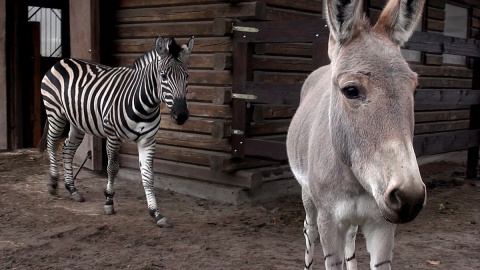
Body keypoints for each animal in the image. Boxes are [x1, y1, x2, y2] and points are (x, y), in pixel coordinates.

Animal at [38, 34, 194, 227]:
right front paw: (109, 202)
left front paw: (156, 212)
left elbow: (148, 175)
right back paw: (53, 184)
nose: (181, 115)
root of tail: (63, 60)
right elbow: (112, 168)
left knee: (68, 148)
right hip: (55, 113)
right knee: (52, 145)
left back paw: (72, 189)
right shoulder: (113, 137)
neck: (145, 104)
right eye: (163, 76)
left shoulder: (148, 140)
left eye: (186, 76)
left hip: (77, 121)